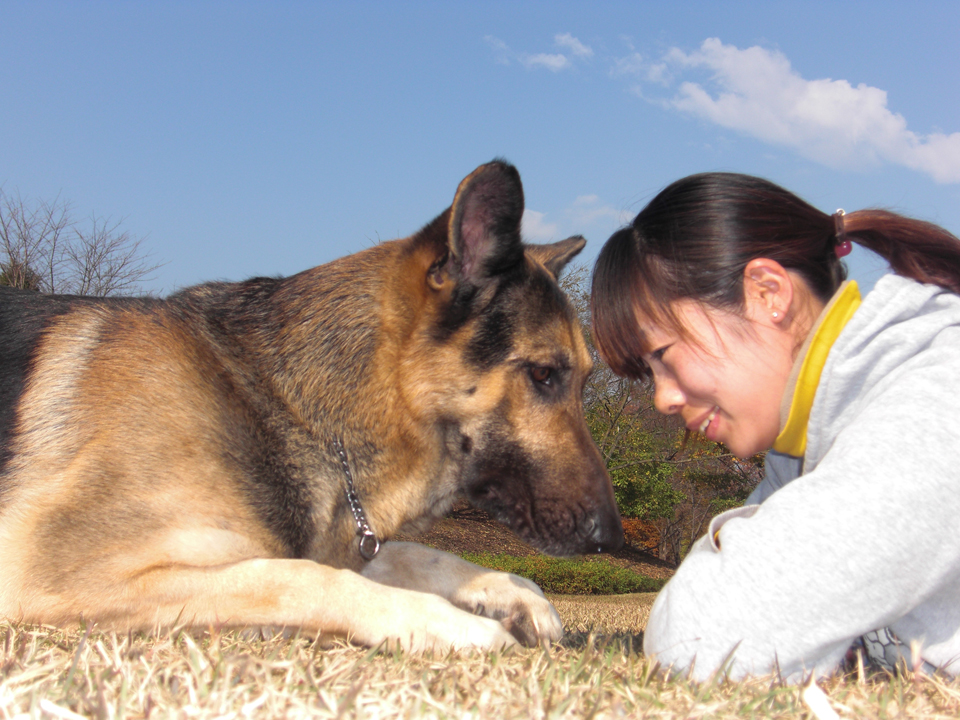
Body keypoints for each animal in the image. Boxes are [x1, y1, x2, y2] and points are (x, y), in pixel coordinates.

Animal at [0, 162, 624, 652]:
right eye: (543, 375)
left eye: (585, 381)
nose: (611, 539)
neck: (282, 407)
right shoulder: (59, 577)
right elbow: (300, 579)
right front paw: (442, 623)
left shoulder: (348, 538)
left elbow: (419, 555)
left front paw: (515, 591)